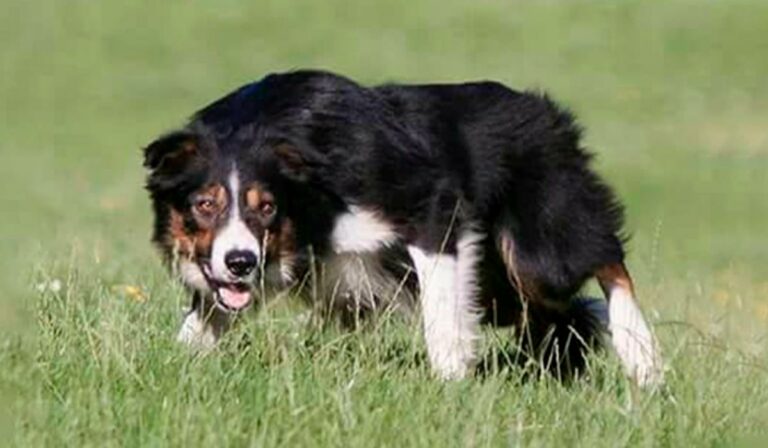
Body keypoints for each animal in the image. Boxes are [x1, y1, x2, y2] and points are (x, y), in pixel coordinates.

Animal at [144, 68, 664, 386]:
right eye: (204, 205)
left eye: (267, 207)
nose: (240, 261)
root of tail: (547, 112)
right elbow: (198, 326)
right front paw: (175, 367)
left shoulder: (431, 207)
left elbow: (441, 318)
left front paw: (451, 384)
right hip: (500, 286)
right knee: (559, 312)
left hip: (540, 245)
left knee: (605, 261)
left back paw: (643, 359)